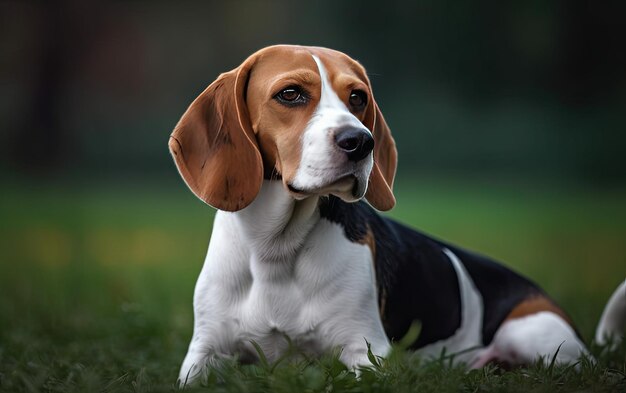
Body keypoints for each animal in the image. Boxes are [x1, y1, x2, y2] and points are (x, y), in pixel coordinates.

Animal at [168, 43, 620, 382]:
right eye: (290, 93)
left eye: (357, 97)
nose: (361, 141)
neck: (275, 248)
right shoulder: (202, 354)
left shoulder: (365, 352)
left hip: (531, 334)